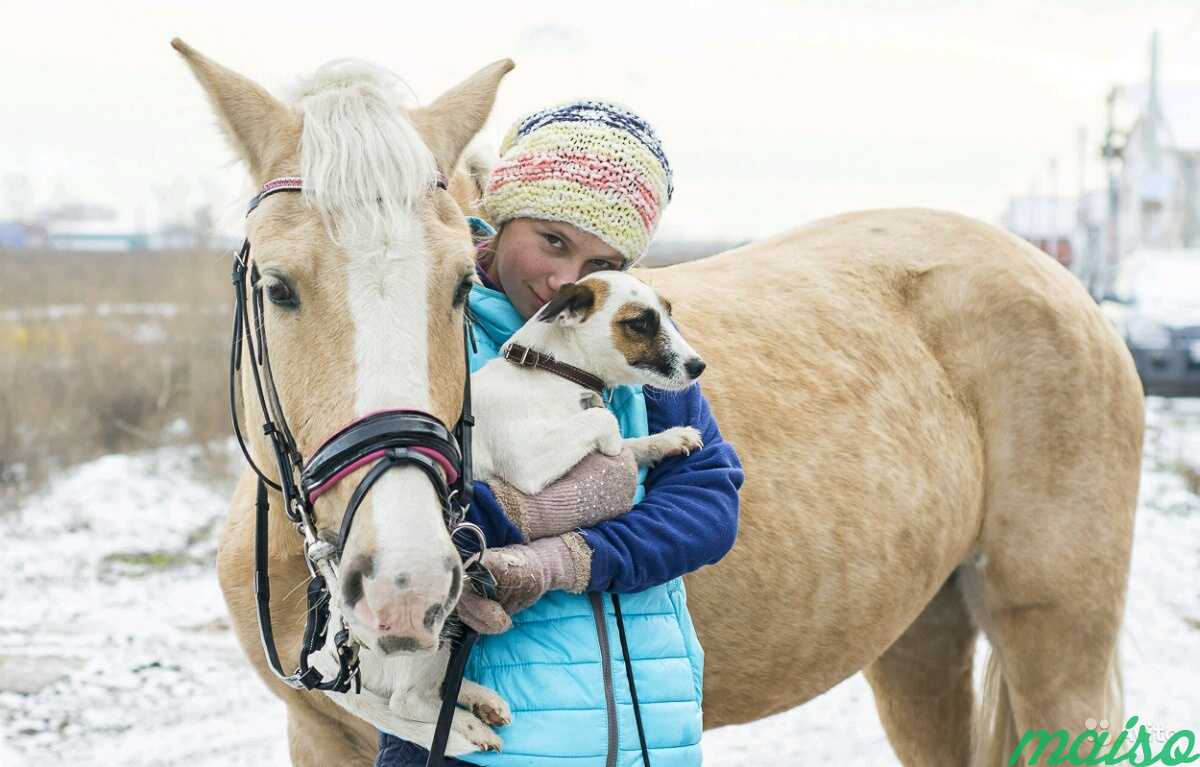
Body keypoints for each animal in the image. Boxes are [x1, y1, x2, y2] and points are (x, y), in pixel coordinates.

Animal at [175, 42, 1142, 767]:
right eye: (277, 286)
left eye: (456, 285)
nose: (406, 583)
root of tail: (1055, 280)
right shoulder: (316, 734)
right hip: (922, 635)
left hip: (1057, 644)